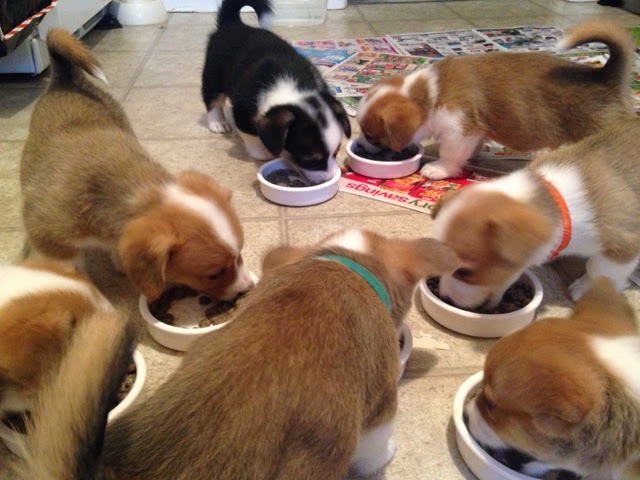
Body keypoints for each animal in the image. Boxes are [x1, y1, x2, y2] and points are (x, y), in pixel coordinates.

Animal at [20, 29, 253, 301]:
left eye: (241, 253)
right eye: (213, 274)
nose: (248, 288)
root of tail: (64, 78)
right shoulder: (52, 242)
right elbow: (71, 273)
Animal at [201, 0, 351, 184]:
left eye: (336, 153)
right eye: (310, 160)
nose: (328, 179)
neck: (291, 87)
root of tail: (232, 23)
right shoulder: (243, 110)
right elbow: (250, 133)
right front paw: (261, 151)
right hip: (212, 77)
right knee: (212, 100)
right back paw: (218, 123)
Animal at [356, 19, 634, 180]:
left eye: (371, 135)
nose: (359, 145)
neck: (430, 93)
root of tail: (604, 76)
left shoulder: (458, 130)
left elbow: (449, 154)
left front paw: (439, 169)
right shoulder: (473, 132)